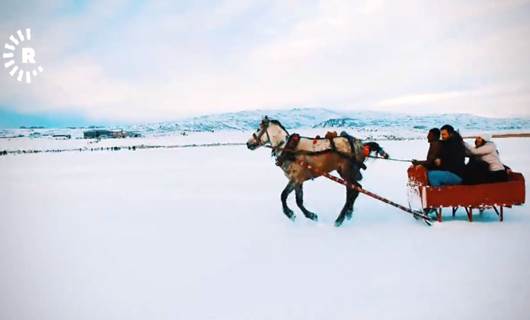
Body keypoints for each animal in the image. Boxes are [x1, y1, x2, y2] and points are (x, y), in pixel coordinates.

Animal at [244, 116, 388, 226]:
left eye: (258, 129)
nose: (248, 143)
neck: (288, 149)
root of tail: (359, 144)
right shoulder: (297, 180)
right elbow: (291, 198)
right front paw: (300, 214)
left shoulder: (297, 178)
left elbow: (291, 198)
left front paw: (301, 214)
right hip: (346, 172)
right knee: (356, 189)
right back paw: (348, 214)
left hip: (346, 172)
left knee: (353, 190)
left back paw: (340, 219)